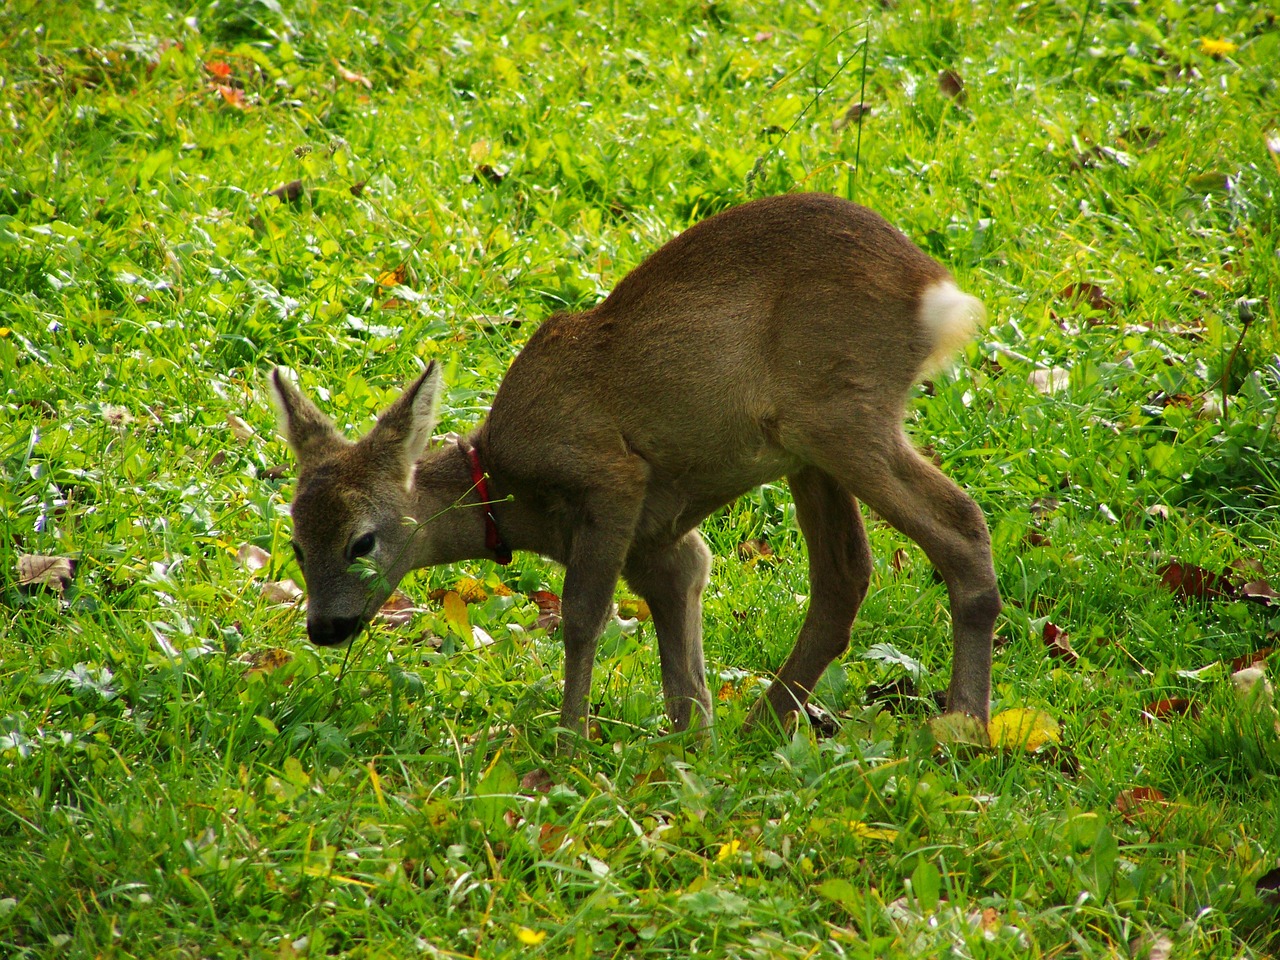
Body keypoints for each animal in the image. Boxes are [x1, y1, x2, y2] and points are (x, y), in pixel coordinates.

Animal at [272, 192, 998, 742]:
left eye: (362, 541)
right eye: (296, 545)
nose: (324, 627)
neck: (518, 496)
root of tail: (934, 289)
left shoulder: (611, 475)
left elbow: (581, 617)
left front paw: (569, 745)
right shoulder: (661, 542)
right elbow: (684, 675)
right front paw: (689, 749)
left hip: (840, 415)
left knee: (961, 524)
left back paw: (964, 726)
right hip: (810, 445)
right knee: (845, 575)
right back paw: (764, 726)